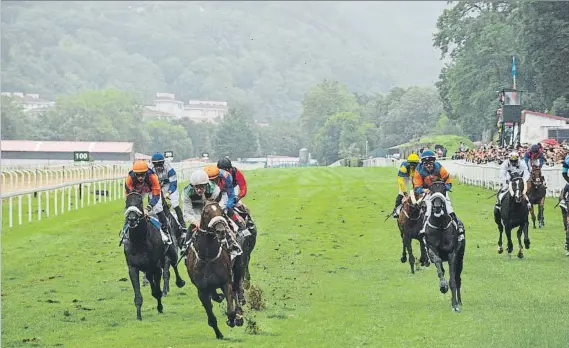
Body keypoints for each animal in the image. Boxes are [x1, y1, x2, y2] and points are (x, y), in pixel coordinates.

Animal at [123, 192, 183, 320]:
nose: (131, 219)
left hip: (171, 252)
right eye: (127, 202)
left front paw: (160, 308)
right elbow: (138, 295)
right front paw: (139, 316)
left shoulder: (156, 266)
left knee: (174, 264)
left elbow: (158, 290)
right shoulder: (133, 268)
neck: (139, 241)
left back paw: (179, 282)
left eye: (140, 202)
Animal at [183, 200, 243, 338]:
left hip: (237, 268)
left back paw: (239, 315)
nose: (221, 231)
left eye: (221, 210)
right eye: (205, 213)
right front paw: (219, 334)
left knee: (236, 289)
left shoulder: (226, 282)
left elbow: (230, 309)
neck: (208, 256)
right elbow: (210, 315)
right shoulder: (202, 290)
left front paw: (232, 320)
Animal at [420, 182, 464, 312]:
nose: (437, 207)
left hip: (461, 258)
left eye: (444, 189)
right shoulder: (431, 250)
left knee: (458, 278)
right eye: (431, 190)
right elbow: (439, 265)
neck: (439, 225)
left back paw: (459, 301)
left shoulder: (452, 255)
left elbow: (453, 281)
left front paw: (455, 305)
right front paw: (443, 285)